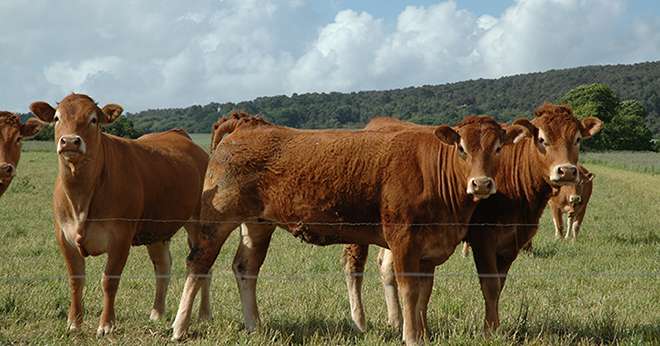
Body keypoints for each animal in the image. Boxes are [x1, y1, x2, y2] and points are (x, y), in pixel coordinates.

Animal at [30, 93, 211, 336]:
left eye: (93, 119)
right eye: (57, 118)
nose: (69, 141)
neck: (81, 198)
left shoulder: (120, 237)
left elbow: (109, 281)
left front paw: (106, 324)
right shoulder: (64, 237)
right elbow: (76, 280)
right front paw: (74, 323)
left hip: (200, 222)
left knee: (203, 266)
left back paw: (204, 315)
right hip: (156, 230)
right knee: (163, 266)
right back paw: (157, 313)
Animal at [173, 111, 528, 344]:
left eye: (498, 148)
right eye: (462, 148)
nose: (482, 183)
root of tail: (247, 123)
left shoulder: (429, 248)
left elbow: (424, 293)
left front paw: (423, 334)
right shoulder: (404, 241)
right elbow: (409, 290)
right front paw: (411, 336)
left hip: (258, 224)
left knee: (245, 268)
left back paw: (255, 326)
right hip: (217, 220)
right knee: (198, 263)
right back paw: (179, 328)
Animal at [340, 103, 604, 336]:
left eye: (577, 139)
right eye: (542, 139)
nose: (566, 170)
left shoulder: (511, 243)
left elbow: (499, 285)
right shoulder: (483, 237)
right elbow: (490, 285)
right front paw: (490, 330)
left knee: (386, 268)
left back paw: (396, 320)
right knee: (354, 266)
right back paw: (360, 322)